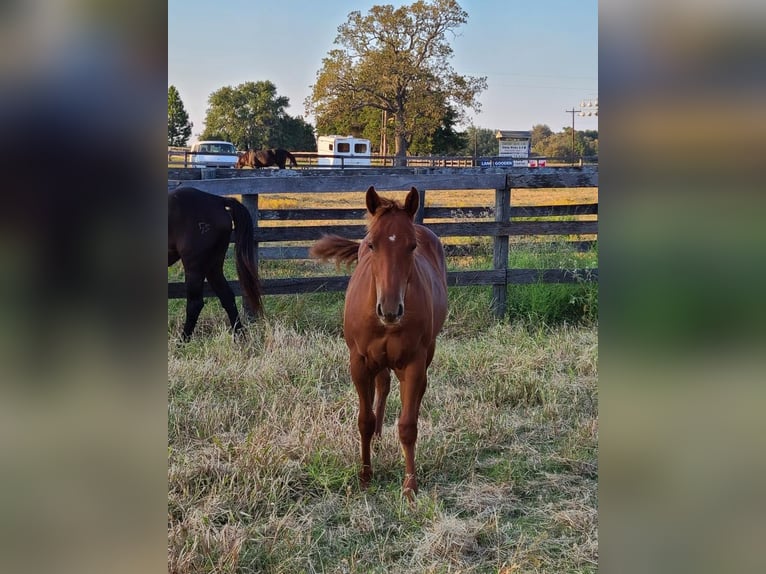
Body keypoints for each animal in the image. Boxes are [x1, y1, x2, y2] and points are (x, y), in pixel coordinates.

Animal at [168, 188, 264, 342]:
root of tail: (218, 200)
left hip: (194, 267)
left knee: (195, 305)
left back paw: (182, 343)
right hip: (213, 266)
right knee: (227, 297)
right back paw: (240, 338)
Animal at [308, 187, 448, 502]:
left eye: (412, 247)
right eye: (372, 245)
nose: (390, 310)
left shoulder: (414, 363)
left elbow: (408, 426)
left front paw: (410, 486)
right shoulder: (359, 363)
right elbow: (365, 420)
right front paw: (365, 476)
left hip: (426, 354)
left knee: (417, 391)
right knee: (383, 385)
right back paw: (379, 437)